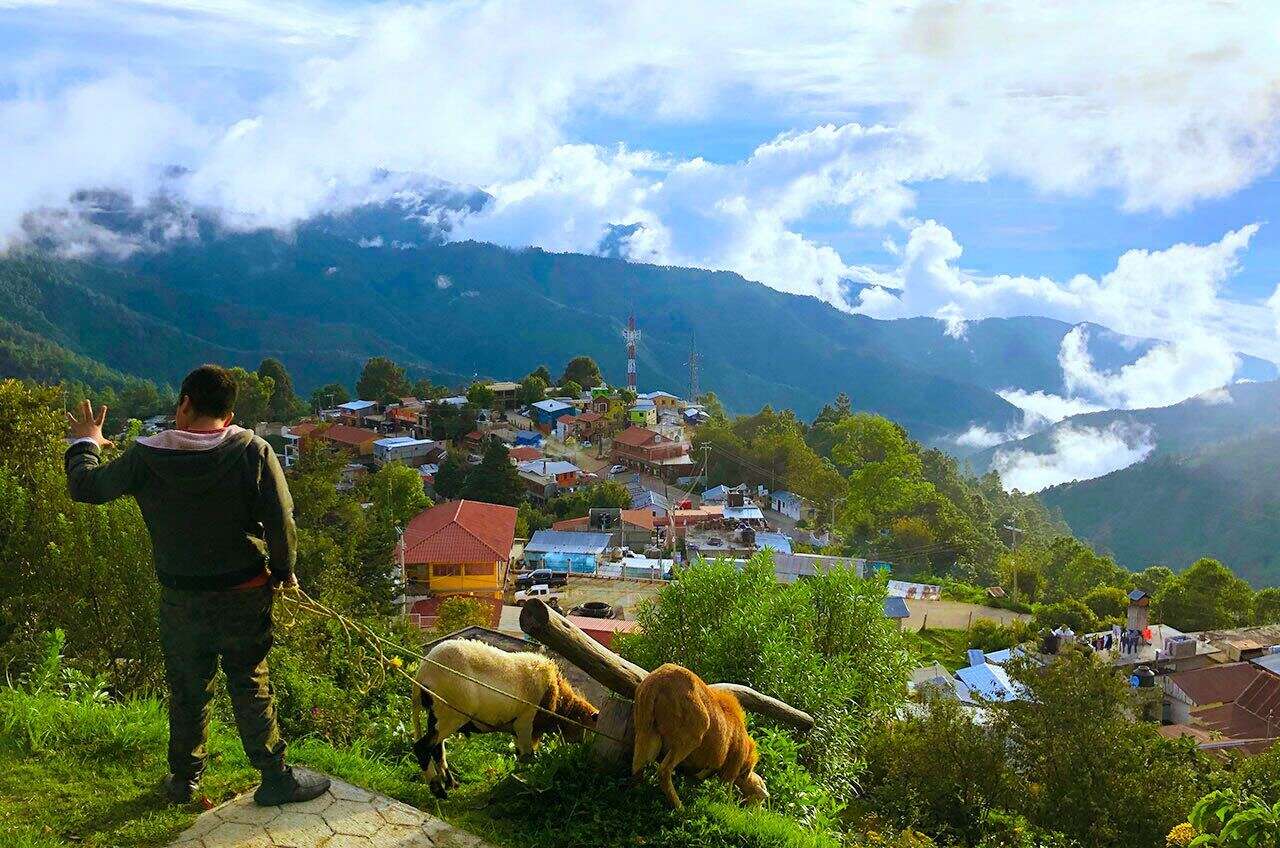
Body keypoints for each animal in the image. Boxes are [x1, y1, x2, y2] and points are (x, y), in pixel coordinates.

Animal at [627, 666, 762, 809]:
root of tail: (658, 680)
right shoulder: (731, 770)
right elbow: (726, 792)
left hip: (644, 729)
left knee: (637, 766)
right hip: (691, 736)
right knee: (664, 770)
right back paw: (679, 807)